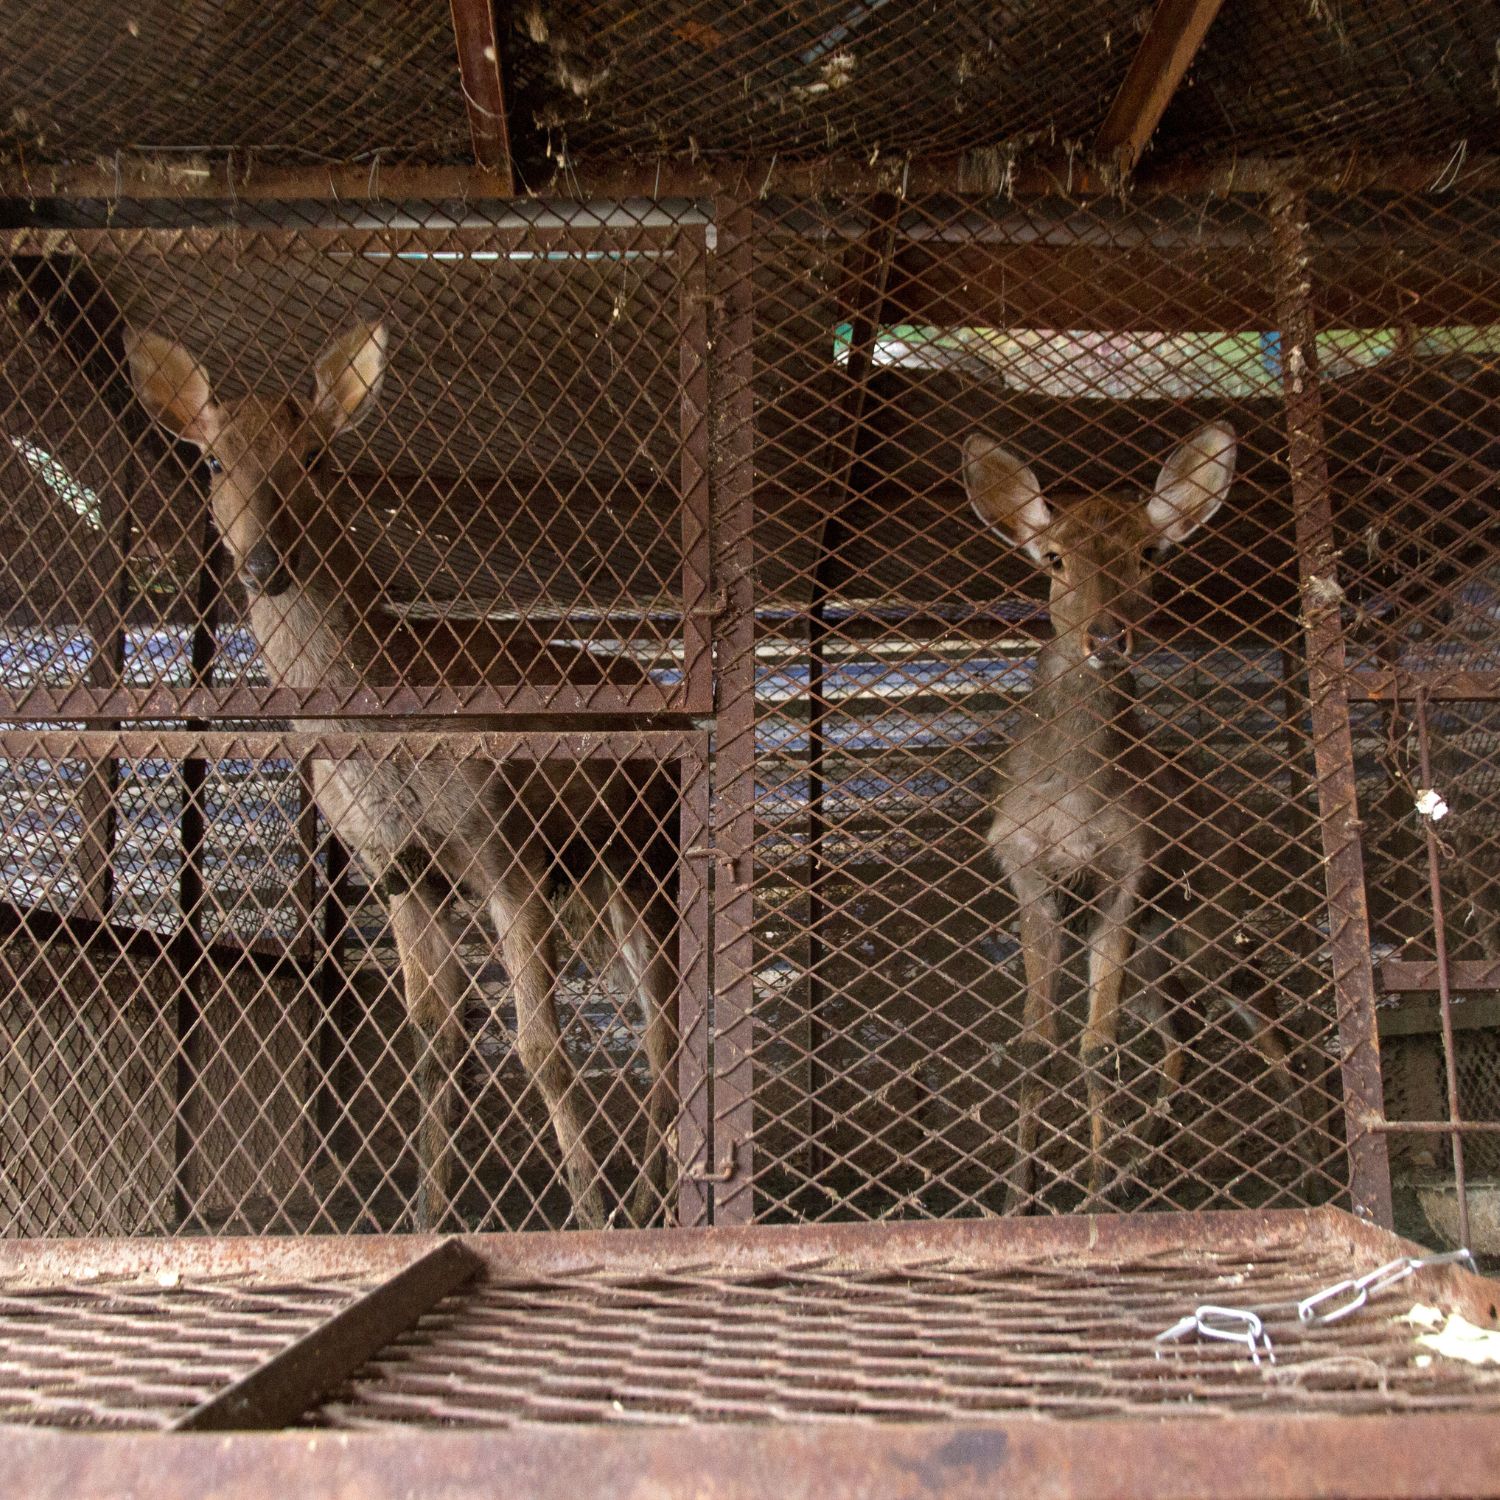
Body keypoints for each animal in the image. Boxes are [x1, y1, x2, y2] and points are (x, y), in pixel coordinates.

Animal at [126, 320, 678, 1232]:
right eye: (212, 461)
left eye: (315, 456)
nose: (264, 561)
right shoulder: (398, 870)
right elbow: (434, 1044)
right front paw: (426, 1216)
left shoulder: (506, 848)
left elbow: (540, 1049)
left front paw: (588, 1218)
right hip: (597, 889)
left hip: (649, 864)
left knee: (669, 1031)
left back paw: (649, 1207)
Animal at [962, 422, 1314, 1212]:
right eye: (1054, 557)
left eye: (1148, 554)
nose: (1106, 636)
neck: (1071, 797)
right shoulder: (1024, 867)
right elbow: (1036, 1047)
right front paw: (1019, 1200)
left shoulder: (1127, 869)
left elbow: (1099, 1048)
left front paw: (1088, 1197)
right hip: (1161, 949)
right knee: (1183, 1027)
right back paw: (1146, 1157)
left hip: (1209, 911)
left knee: (1254, 997)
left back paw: (1306, 1138)